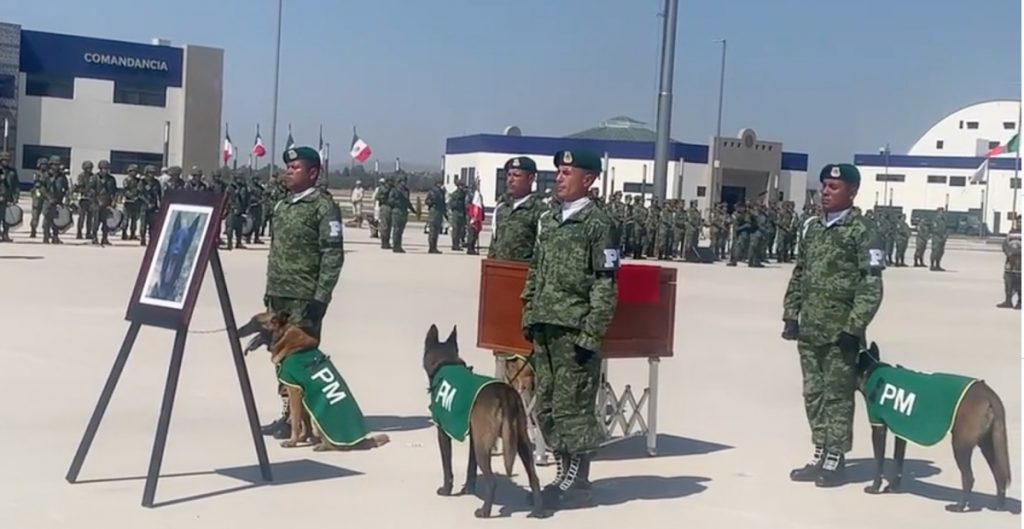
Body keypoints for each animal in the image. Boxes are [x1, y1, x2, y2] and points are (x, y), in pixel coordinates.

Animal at [239, 311, 391, 452]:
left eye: (255, 321)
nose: (238, 331)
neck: (285, 337)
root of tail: (362, 441)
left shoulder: (294, 391)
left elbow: (295, 421)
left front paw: (292, 442)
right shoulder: (305, 399)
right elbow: (304, 421)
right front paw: (303, 438)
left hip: (318, 419)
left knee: (340, 447)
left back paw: (322, 446)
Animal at [421, 323, 548, 517]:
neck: (447, 362)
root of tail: (504, 394)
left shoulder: (443, 432)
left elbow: (447, 466)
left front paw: (446, 490)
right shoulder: (474, 436)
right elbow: (470, 467)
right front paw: (468, 489)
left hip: (484, 447)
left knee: (492, 480)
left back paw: (485, 511)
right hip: (521, 442)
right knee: (534, 478)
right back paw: (538, 511)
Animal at [856, 341, 1007, 511]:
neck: (872, 370)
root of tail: (988, 394)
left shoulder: (878, 427)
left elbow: (879, 462)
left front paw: (875, 488)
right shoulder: (900, 432)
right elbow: (898, 461)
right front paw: (893, 488)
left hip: (961, 444)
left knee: (969, 477)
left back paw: (959, 507)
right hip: (988, 444)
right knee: (1000, 475)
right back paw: (998, 506)